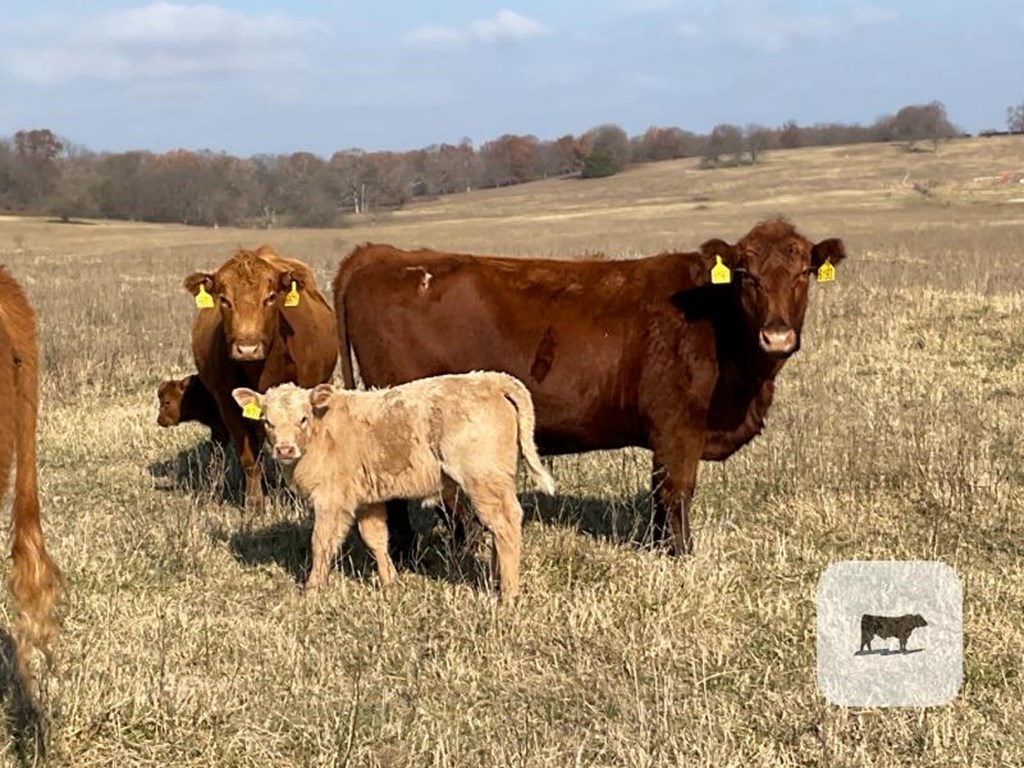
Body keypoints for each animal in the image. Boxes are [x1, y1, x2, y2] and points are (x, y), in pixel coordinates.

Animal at [186, 247, 337, 512]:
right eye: (224, 300)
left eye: (270, 297)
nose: (247, 348)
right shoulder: (229, 408)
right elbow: (249, 458)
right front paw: (255, 503)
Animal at [233, 372, 557, 602]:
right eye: (267, 422)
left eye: (303, 418)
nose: (284, 449)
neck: (321, 432)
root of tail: (490, 378)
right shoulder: (366, 499)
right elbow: (375, 537)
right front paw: (390, 583)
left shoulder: (330, 499)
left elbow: (321, 542)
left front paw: (311, 590)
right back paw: (496, 579)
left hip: (483, 478)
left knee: (505, 523)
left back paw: (508, 594)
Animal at [333, 219, 847, 557]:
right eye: (747, 276)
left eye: (803, 274)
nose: (777, 336)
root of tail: (381, 253)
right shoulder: (679, 426)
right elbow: (676, 492)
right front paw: (682, 555)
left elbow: (658, 495)